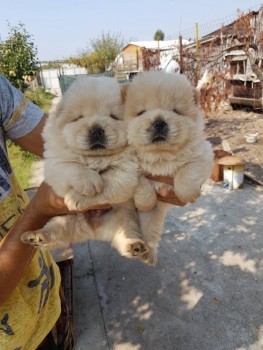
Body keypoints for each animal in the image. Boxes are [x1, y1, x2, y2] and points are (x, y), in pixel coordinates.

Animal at [21, 76, 148, 260]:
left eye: (113, 117)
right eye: (78, 118)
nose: (96, 130)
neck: (95, 158)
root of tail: (92, 230)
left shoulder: (128, 169)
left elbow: (108, 182)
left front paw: (77, 198)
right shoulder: (54, 163)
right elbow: (72, 166)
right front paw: (88, 182)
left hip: (124, 218)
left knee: (127, 232)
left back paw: (136, 246)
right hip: (63, 219)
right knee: (55, 232)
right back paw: (35, 236)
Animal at [125, 71, 216, 266]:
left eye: (176, 111)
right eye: (141, 112)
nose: (159, 122)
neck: (161, 156)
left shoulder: (203, 153)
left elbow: (187, 174)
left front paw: (189, 195)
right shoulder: (127, 163)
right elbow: (139, 180)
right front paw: (145, 201)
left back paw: (147, 255)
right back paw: (143, 252)